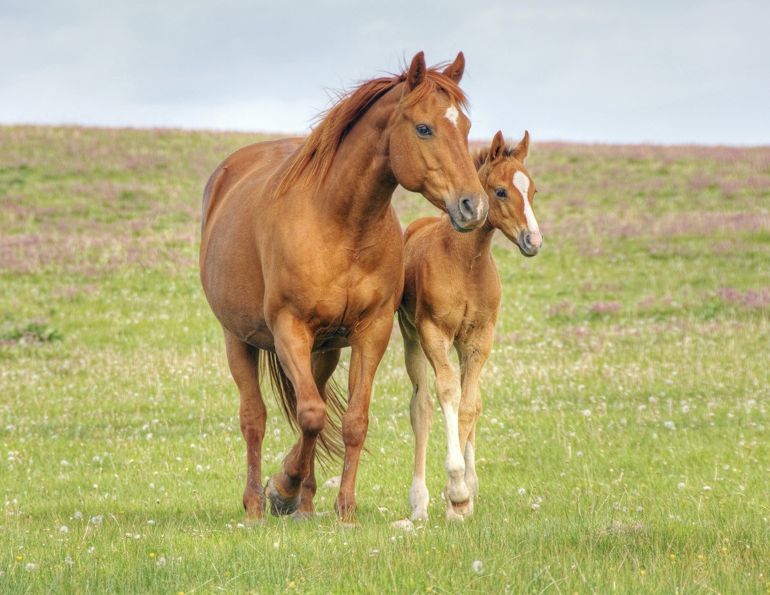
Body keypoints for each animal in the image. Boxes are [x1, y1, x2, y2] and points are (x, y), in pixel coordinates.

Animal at [199, 51, 489, 522]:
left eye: (464, 127)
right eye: (424, 128)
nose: (473, 206)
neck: (341, 224)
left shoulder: (371, 332)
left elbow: (351, 421)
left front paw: (344, 509)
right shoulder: (289, 329)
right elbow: (312, 415)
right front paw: (283, 487)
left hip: (324, 351)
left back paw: (306, 503)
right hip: (238, 339)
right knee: (254, 418)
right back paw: (257, 504)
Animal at [397, 130, 542, 521]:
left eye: (533, 190)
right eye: (501, 191)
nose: (533, 241)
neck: (465, 262)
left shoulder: (479, 338)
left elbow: (470, 405)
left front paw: (460, 498)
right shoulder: (433, 333)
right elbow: (448, 394)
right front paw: (456, 487)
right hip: (411, 338)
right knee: (421, 407)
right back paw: (419, 502)